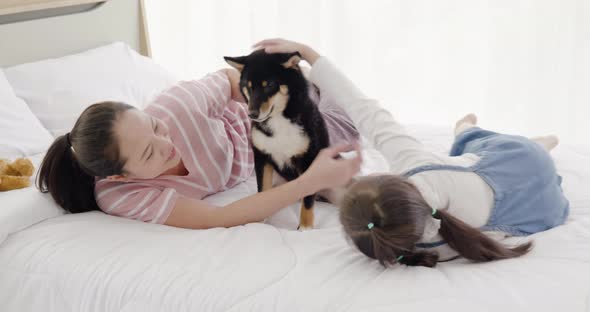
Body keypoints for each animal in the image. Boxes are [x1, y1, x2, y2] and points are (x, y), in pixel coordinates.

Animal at [224, 50, 330, 230]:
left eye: (269, 85)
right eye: (248, 86)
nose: (252, 114)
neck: (279, 121)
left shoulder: (308, 160)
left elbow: (308, 199)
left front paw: (305, 227)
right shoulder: (262, 157)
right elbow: (263, 192)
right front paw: (259, 220)